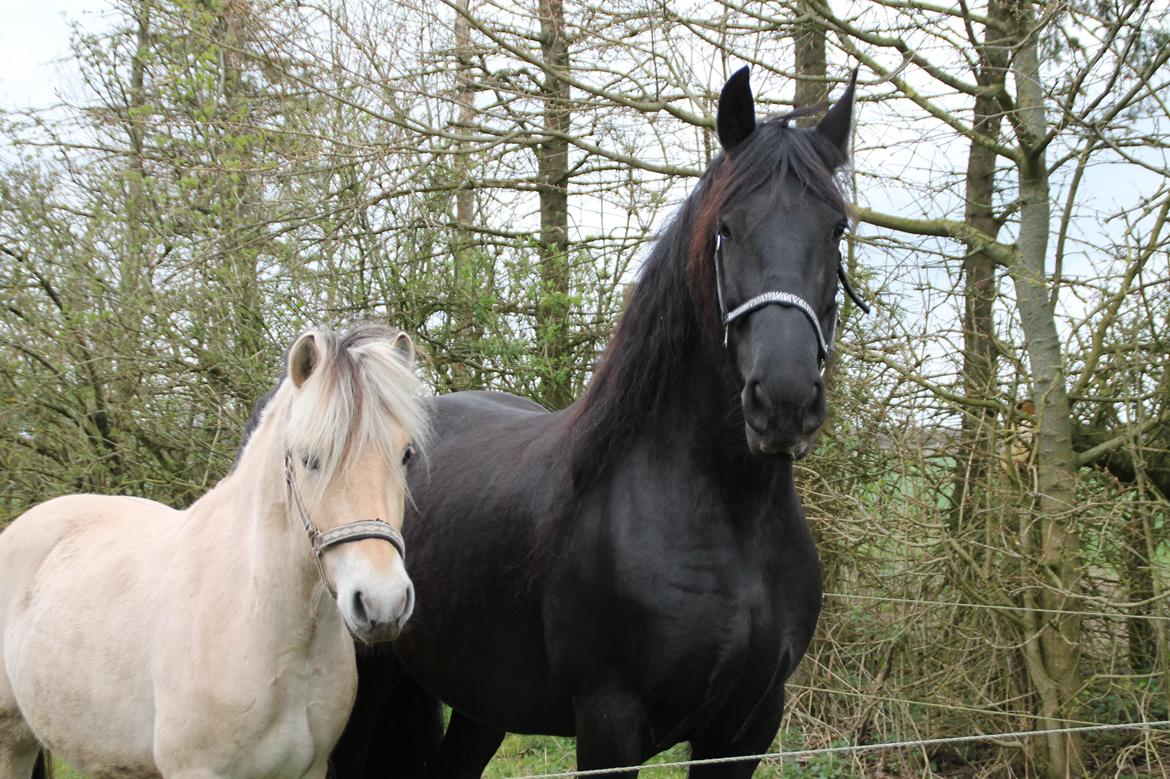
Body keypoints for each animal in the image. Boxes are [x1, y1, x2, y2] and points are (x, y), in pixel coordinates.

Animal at [334, 68, 865, 776]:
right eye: (726, 228)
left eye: (835, 230)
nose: (782, 400)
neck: (730, 515)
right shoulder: (611, 724)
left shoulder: (748, 727)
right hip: (367, 680)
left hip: (482, 700)